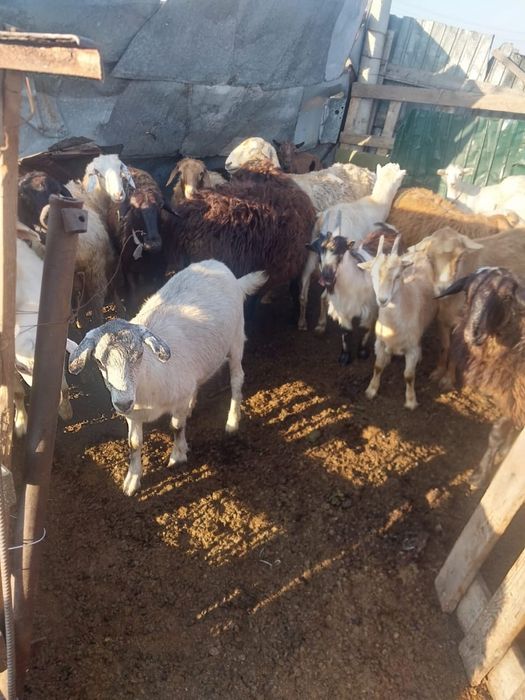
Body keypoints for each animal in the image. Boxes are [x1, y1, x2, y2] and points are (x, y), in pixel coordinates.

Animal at [68, 260, 268, 496]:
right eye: (98, 361)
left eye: (139, 354)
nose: (123, 403)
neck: (148, 382)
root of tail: (219, 266)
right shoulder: (133, 415)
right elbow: (134, 444)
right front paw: (132, 481)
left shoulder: (171, 401)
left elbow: (176, 427)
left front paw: (177, 455)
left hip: (236, 339)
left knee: (237, 379)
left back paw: (232, 421)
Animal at [299, 163, 406, 332]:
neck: (376, 202)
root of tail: (324, 219)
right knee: (324, 296)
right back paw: (321, 324)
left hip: (312, 250)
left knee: (303, 286)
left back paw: (302, 322)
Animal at [358, 236, 437, 409]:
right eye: (372, 275)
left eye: (398, 276)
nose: (382, 300)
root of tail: (420, 253)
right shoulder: (380, 342)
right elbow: (377, 367)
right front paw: (371, 390)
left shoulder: (411, 349)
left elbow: (409, 375)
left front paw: (411, 401)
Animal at [409, 226, 525, 390]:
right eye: (429, 259)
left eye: (459, 259)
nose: (444, 288)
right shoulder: (442, 320)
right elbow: (445, 347)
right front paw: (438, 371)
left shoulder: (462, 326)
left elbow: (455, 351)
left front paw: (447, 379)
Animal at [439, 266, 525, 488]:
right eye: (468, 293)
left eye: (507, 297)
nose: (472, 334)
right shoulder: (510, 395)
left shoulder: (516, 394)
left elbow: (497, 433)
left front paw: (479, 476)